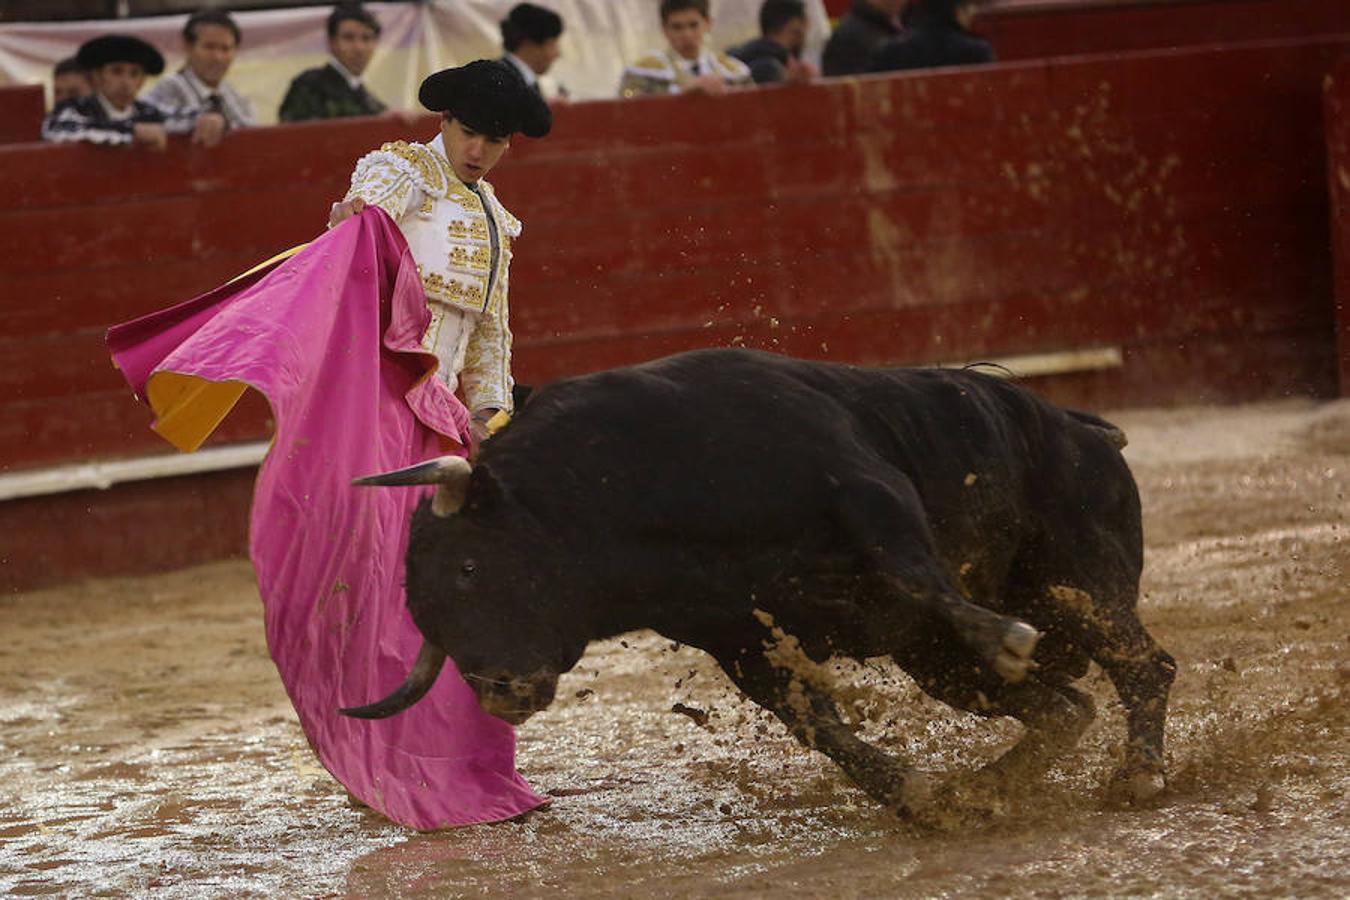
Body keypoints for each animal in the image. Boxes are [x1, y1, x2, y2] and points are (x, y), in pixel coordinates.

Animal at [342, 348, 1177, 814]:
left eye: (470, 566)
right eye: (426, 615)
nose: (499, 693)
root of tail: (1082, 425)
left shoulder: (864, 488)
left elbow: (916, 573)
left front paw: (1003, 638)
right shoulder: (739, 641)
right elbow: (816, 723)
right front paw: (917, 798)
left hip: (1080, 581)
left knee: (1144, 666)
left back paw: (1138, 778)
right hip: (935, 662)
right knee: (1064, 708)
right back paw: (988, 788)